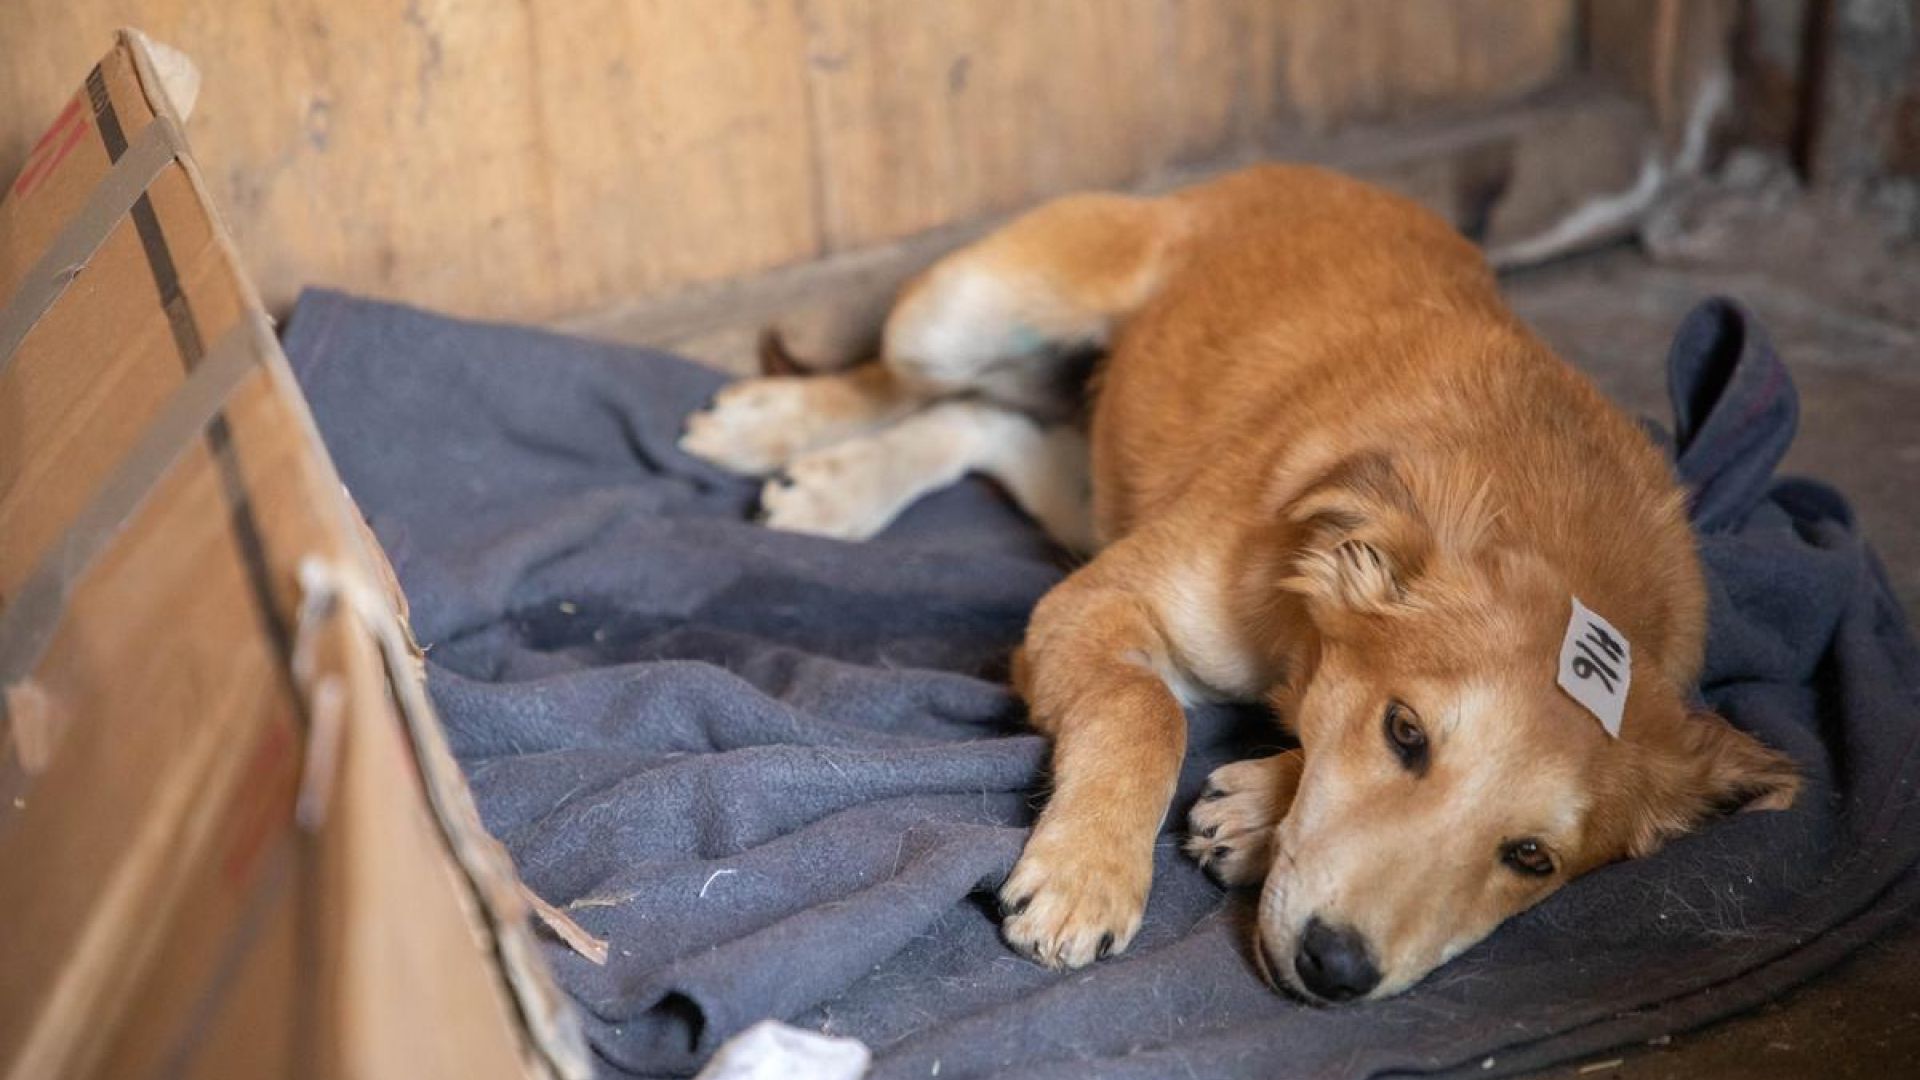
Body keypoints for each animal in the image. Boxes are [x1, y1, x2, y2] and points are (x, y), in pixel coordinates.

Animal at [675, 164, 1797, 999]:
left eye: (1533, 860)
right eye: (1406, 733)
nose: (1336, 971)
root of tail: (1278, 175)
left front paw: (1256, 806)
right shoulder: (1087, 605)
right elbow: (1146, 712)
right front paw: (1086, 875)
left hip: (1087, 477)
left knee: (980, 421)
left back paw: (843, 485)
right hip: (961, 310)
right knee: (895, 380)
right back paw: (780, 434)